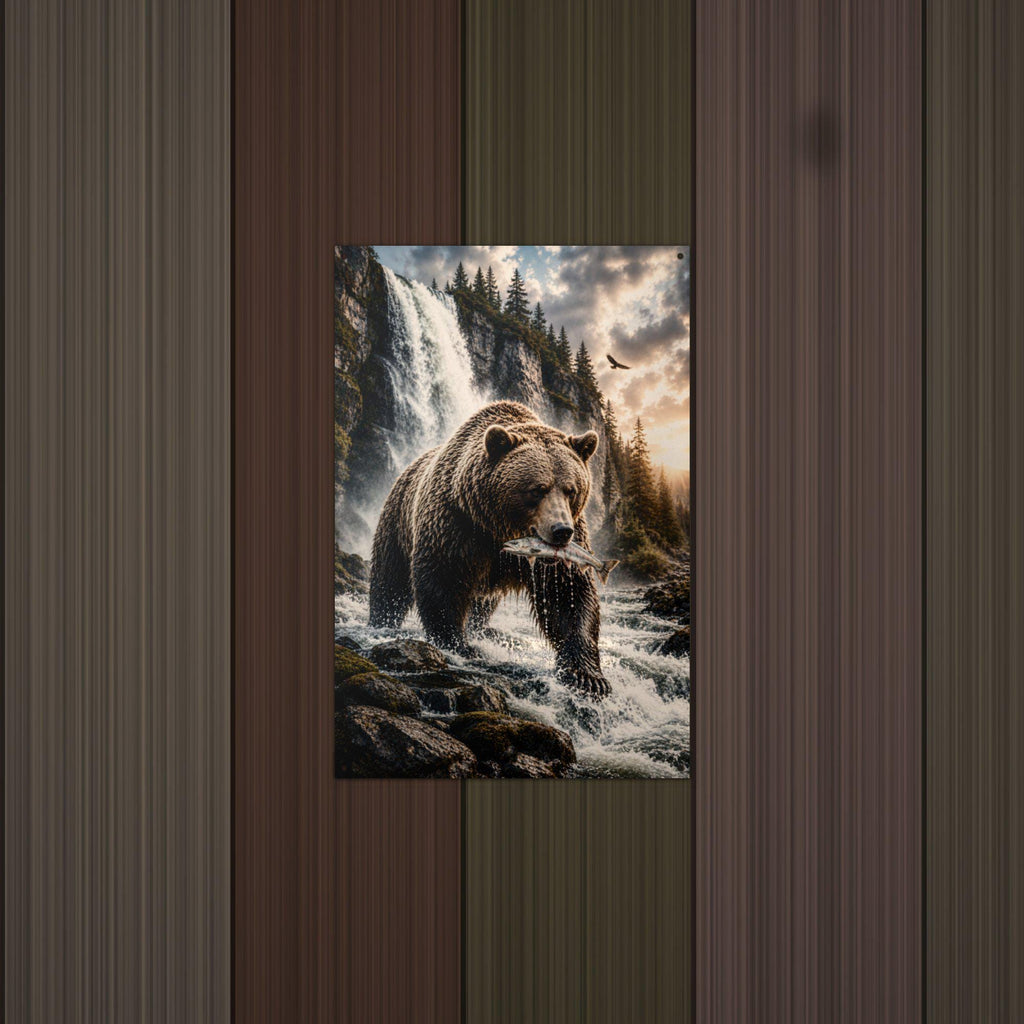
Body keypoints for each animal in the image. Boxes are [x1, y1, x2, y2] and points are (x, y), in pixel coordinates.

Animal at [368, 400, 610, 697]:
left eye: (571, 489)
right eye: (537, 489)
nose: (561, 531)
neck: (497, 526)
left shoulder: (562, 552)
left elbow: (569, 594)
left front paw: (587, 676)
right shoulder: (456, 524)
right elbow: (442, 580)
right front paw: (458, 644)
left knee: (481, 605)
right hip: (397, 520)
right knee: (389, 580)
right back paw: (382, 621)